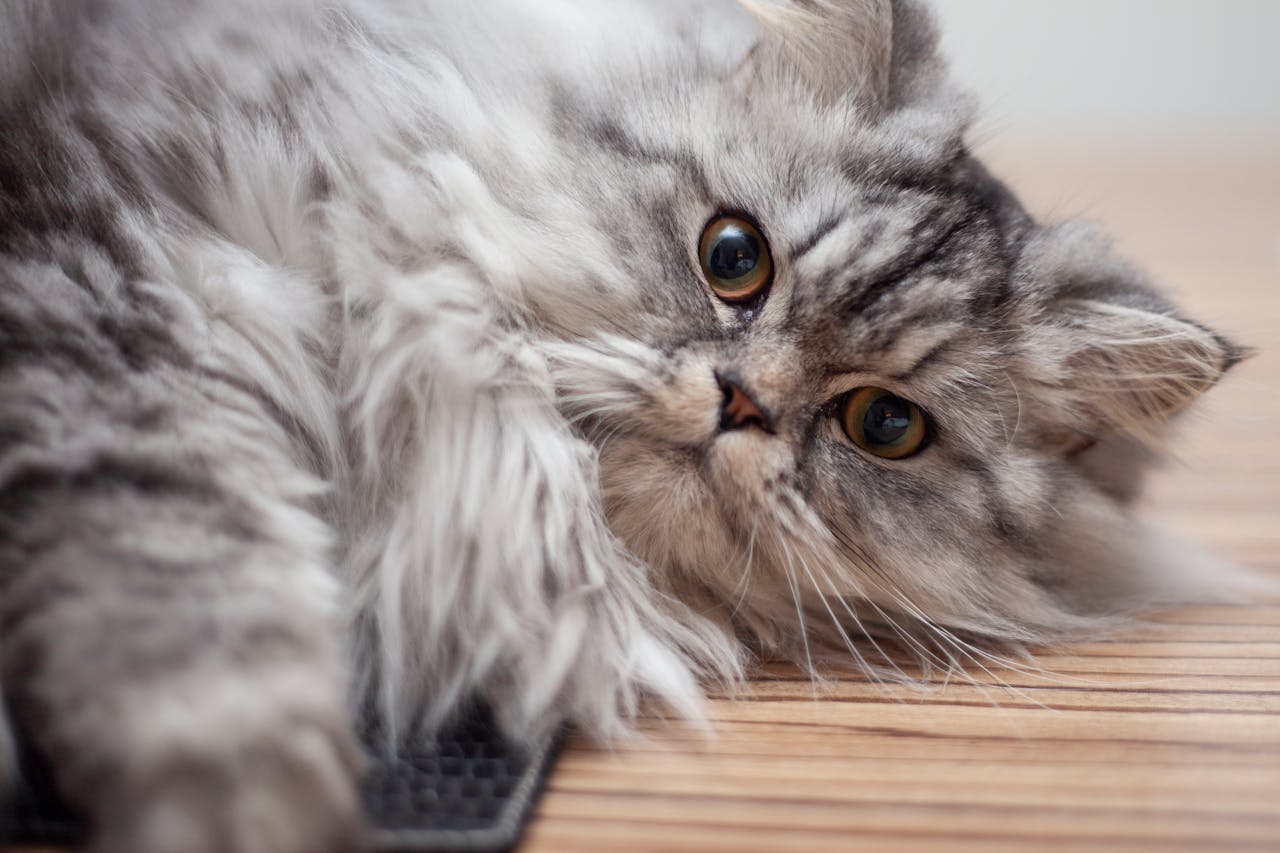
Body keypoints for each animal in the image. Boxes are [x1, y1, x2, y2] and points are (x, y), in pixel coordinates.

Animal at [0, 1, 1244, 850]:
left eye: (885, 424)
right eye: (732, 257)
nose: (741, 402)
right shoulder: (116, 273)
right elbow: (189, 588)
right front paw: (247, 806)